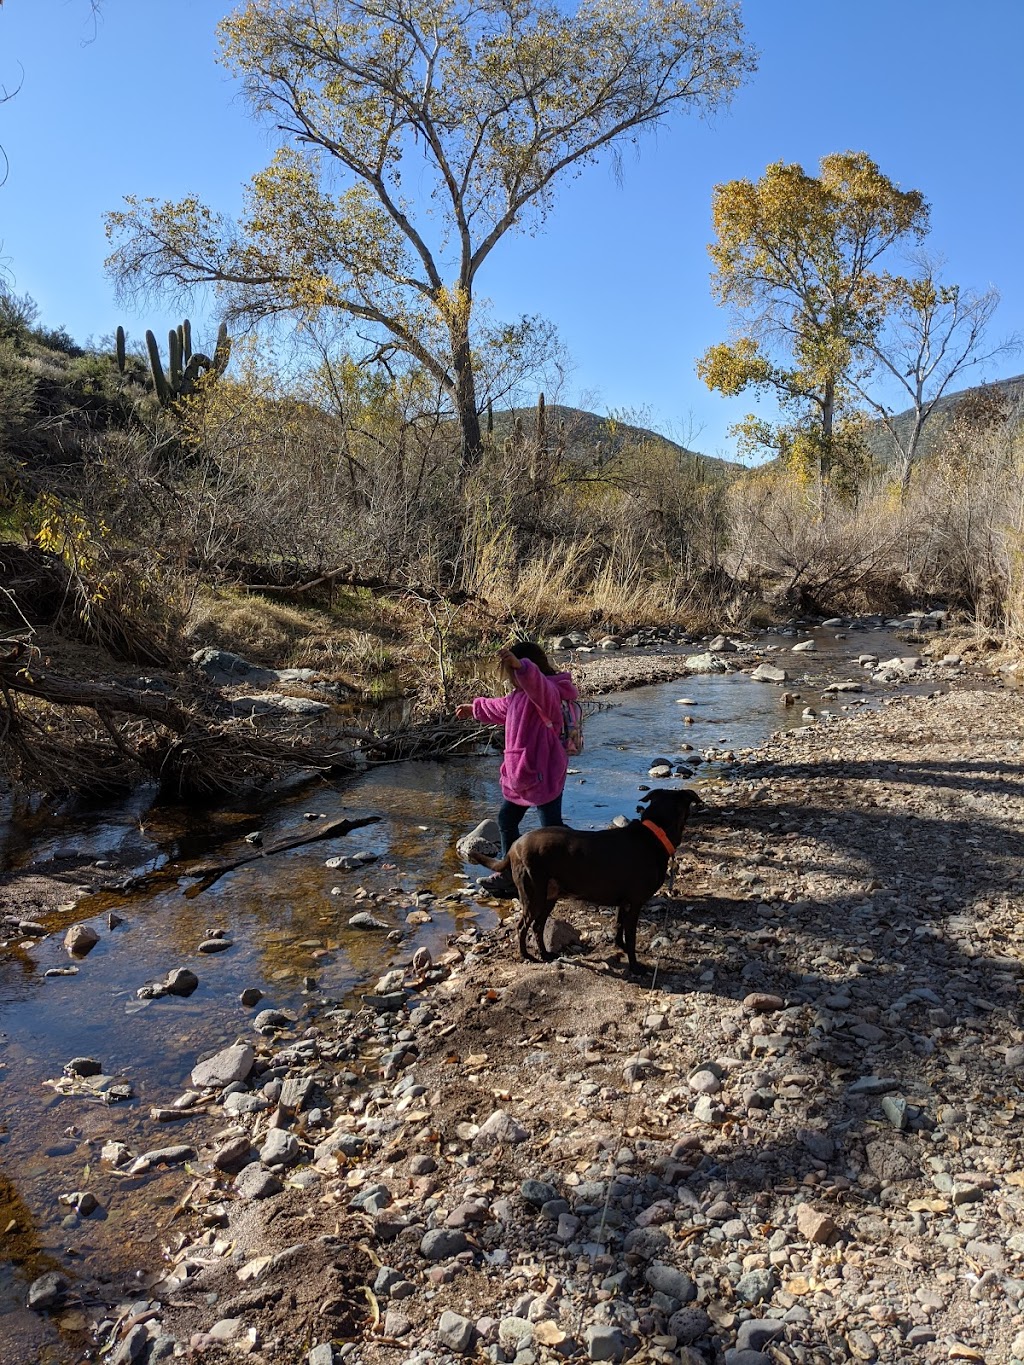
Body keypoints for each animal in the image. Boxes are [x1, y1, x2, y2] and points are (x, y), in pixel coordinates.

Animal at [475, 791, 704, 971]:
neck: (655, 833)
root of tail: (514, 846)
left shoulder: (624, 903)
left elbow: (619, 926)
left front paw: (619, 947)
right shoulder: (635, 903)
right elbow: (630, 936)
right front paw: (635, 966)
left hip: (548, 897)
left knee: (538, 927)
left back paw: (546, 954)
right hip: (534, 898)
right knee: (522, 927)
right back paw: (526, 956)